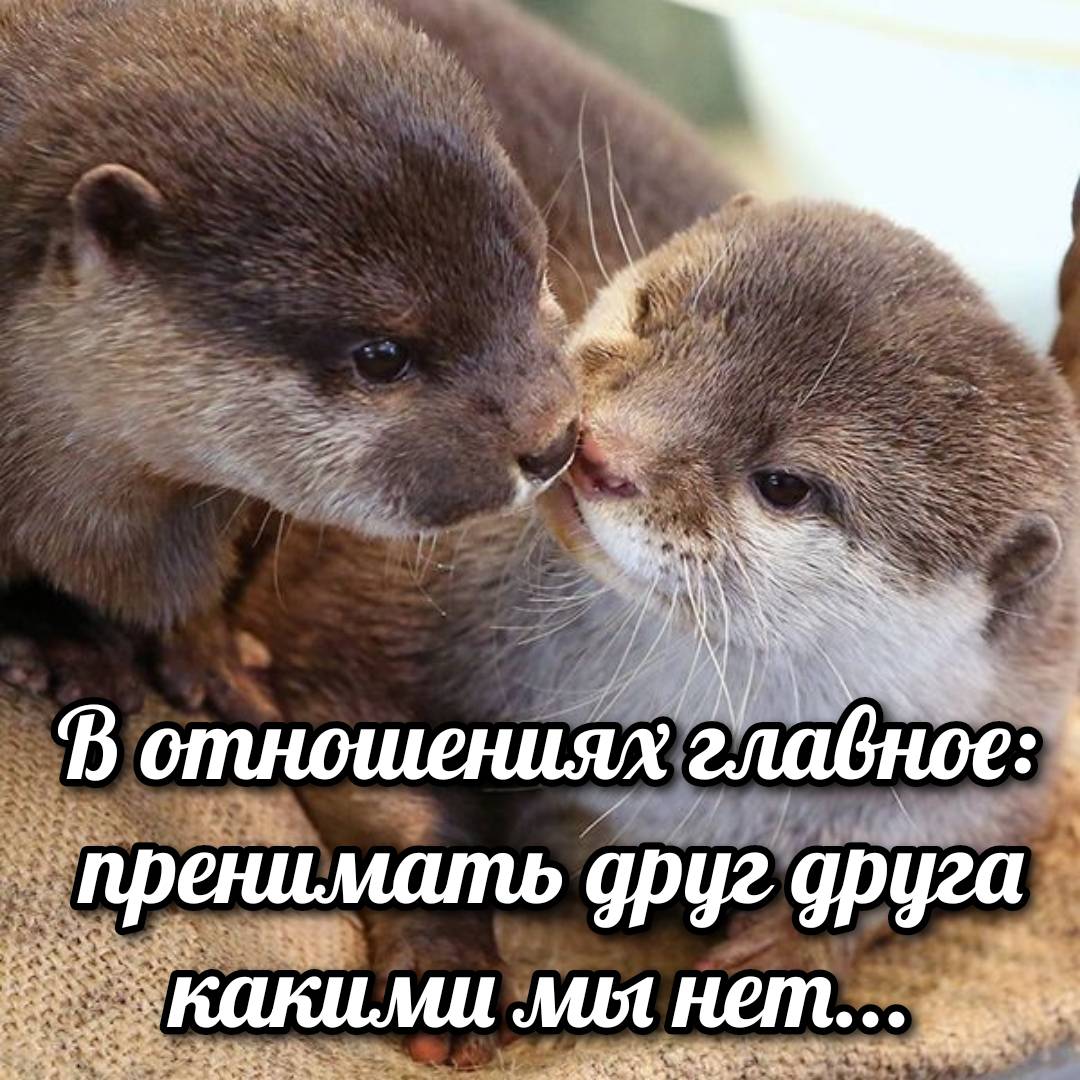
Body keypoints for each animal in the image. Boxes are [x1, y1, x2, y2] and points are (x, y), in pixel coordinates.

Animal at [239, 197, 1080, 1065]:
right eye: (648, 314)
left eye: (785, 484)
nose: (597, 451)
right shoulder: (372, 600)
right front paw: (447, 972)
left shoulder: (1008, 759)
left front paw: (784, 953)